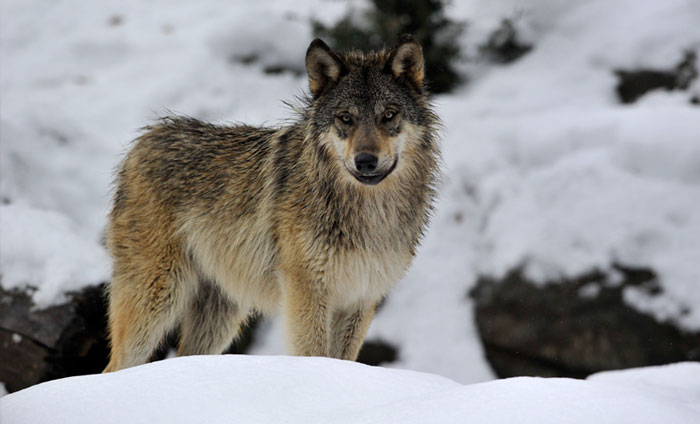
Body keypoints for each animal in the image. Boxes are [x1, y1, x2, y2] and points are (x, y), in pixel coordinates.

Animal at [103, 34, 438, 372]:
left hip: (219, 318)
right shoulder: (307, 294)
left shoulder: (361, 299)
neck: (369, 211)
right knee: (114, 367)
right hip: (157, 298)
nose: (366, 160)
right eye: (345, 118)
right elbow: (315, 355)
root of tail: (144, 140)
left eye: (389, 115)